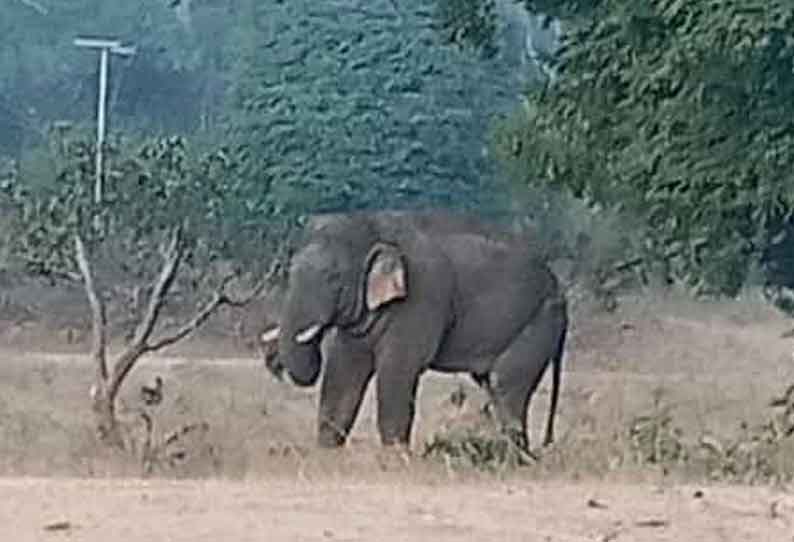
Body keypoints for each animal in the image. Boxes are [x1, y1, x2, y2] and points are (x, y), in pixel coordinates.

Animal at [258, 210, 564, 452]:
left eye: (333, 278)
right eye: (290, 271)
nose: (274, 361)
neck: (371, 223)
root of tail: (560, 290)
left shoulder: (421, 297)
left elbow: (398, 369)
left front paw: (395, 457)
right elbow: (344, 370)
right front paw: (326, 452)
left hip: (540, 321)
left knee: (505, 385)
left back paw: (512, 456)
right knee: (493, 385)